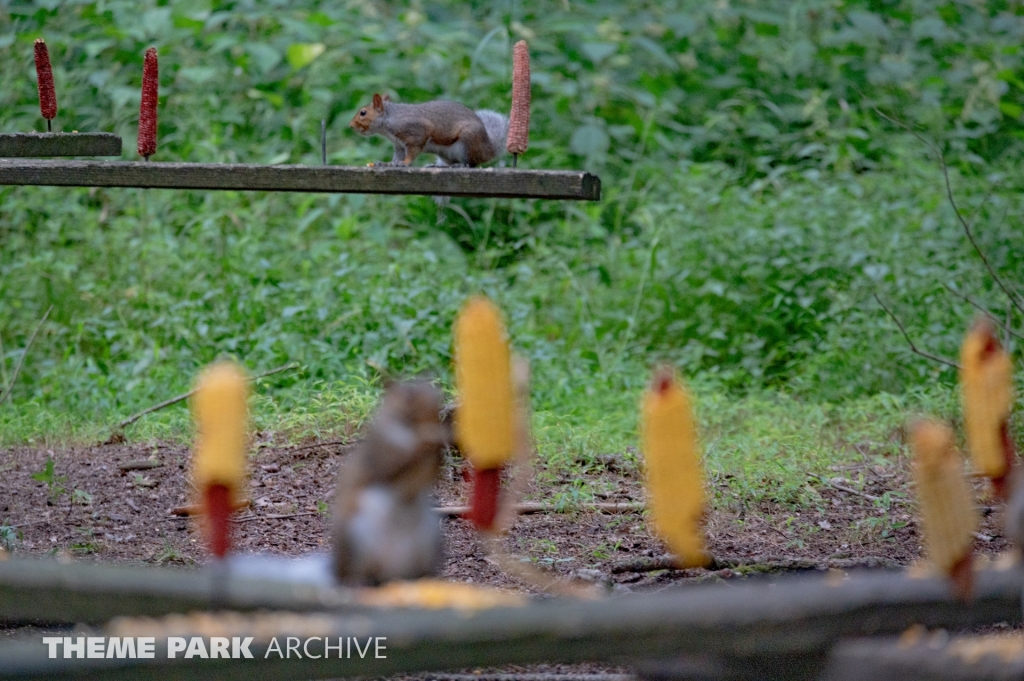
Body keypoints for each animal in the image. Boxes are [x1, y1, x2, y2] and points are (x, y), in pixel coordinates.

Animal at [333, 376, 446, 585]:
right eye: (408, 396)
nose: (436, 397)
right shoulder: (381, 455)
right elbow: (393, 468)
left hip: (428, 540)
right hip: (359, 538)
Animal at [350, 92, 509, 166]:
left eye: (363, 113)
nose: (350, 125)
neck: (389, 118)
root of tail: (488, 149)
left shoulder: (415, 132)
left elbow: (412, 151)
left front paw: (405, 163)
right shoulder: (399, 145)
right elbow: (397, 156)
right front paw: (388, 163)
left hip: (468, 141)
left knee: (470, 163)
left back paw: (458, 166)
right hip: (446, 154)